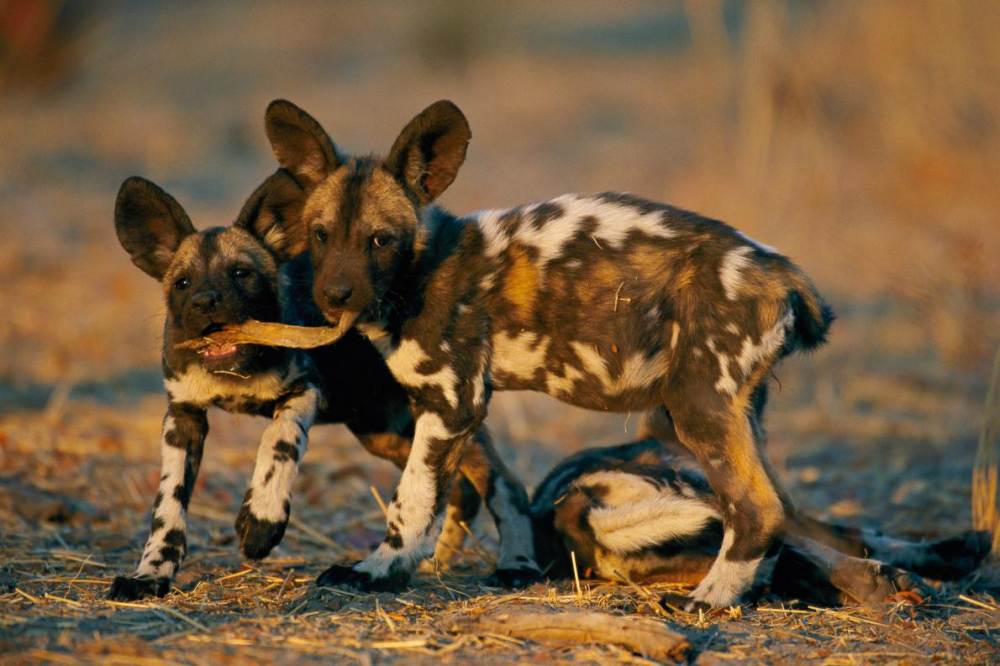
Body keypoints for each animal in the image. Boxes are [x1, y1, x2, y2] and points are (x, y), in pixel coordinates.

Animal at [106, 174, 540, 600]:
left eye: (241, 274)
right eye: (182, 283)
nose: (206, 301)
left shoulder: (304, 390)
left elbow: (278, 442)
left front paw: (262, 519)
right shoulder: (183, 416)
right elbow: (168, 507)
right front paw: (150, 575)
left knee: (503, 483)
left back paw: (516, 566)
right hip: (385, 432)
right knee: (458, 488)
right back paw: (430, 562)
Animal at [260, 98, 836, 608]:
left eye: (380, 240)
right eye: (321, 235)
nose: (335, 296)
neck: (421, 272)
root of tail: (781, 270)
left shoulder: (452, 405)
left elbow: (414, 502)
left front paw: (377, 572)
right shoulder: (450, 409)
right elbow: (491, 492)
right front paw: (494, 566)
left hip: (699, 409)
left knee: (757, 510)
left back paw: (708, 600)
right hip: (736, 414)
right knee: (780, 509)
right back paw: (752, 591)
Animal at [528, 438, 988, 604]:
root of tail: (569, 504)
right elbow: (857, 534)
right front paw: (951, 553)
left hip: (683, 551)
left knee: (784, 566)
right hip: (709, 503)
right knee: (799, 551)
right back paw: (880, 584)